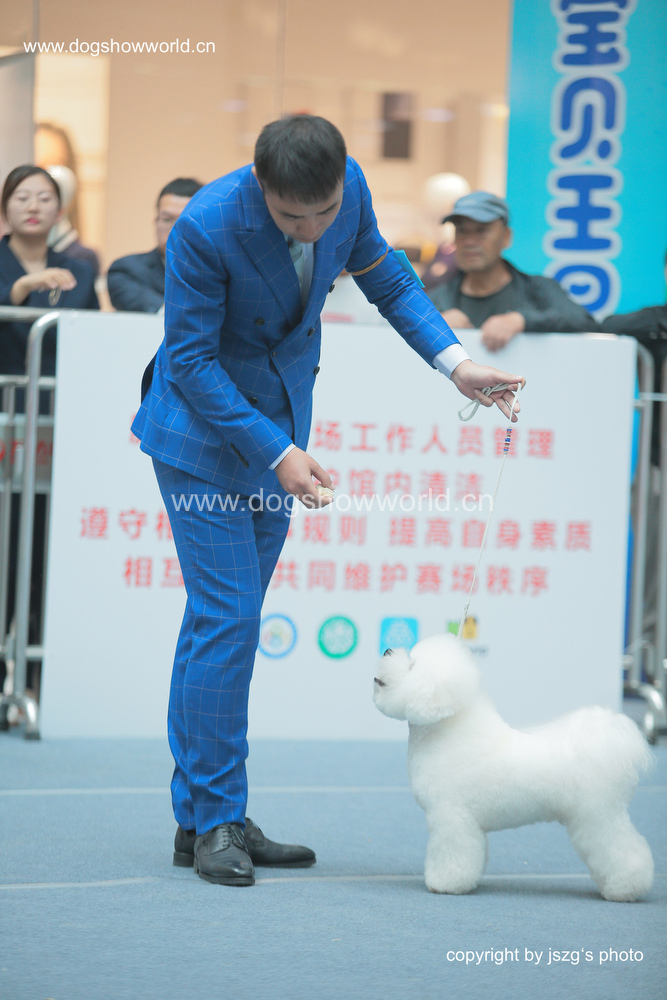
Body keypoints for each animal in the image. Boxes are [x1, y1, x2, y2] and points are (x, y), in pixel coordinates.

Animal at [373, 633, 654, 901]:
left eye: (412, 665)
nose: (387, 650)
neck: (449, 733)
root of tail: (607, 746)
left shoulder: (451, 817)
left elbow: (451, 854)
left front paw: (445, 884)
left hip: (598, 816)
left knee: (622, 850)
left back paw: (625, 889)